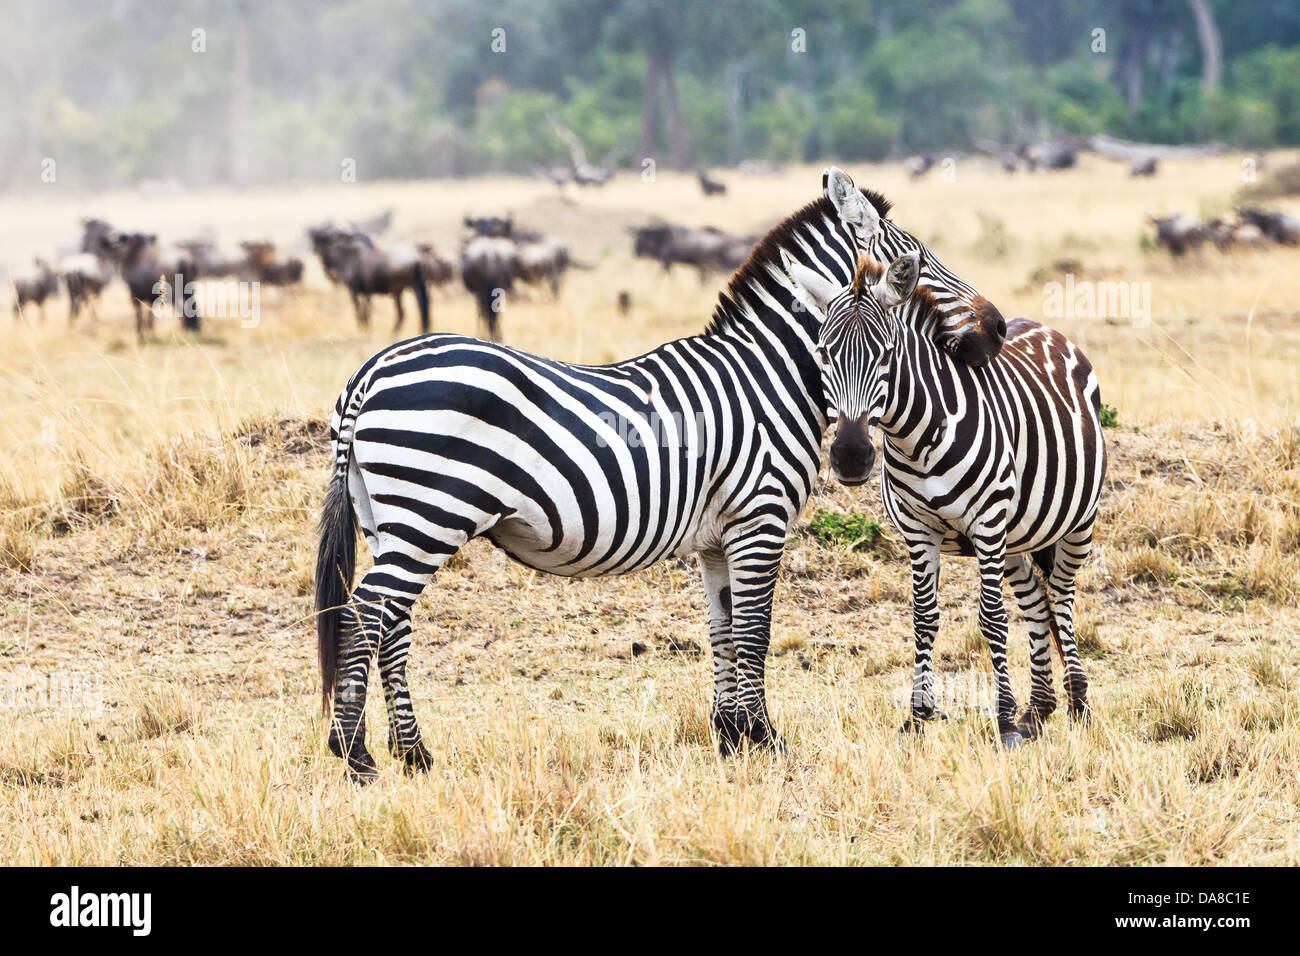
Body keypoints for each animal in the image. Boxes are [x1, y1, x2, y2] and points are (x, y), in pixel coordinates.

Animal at [313, 167, 1008, 780]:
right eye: (918, 260)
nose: (998, 328)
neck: (768, 376)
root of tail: (370, 370)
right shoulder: (761, 517)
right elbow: (755, 632)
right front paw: (768, 741)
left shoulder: (718, 537)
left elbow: (724, 632)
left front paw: (731, 738)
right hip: (429, 513)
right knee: (366, 612)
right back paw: (357, 755)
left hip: (388, 519)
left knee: (392, 624)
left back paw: (413, 755)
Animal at [782, 247, 1106, 749]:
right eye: (823, 355)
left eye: (887, 355)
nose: (851, 456)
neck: (915, 439)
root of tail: (1044, 327)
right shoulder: (920, 532)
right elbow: (924, 618)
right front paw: (917, 717)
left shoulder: (987, 523)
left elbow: (992, 618)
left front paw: (1004, 723)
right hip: (1016, 536)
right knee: (1036, 601)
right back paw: (1039, 710)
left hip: (1075, 523)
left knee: (1063, 598)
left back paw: (1078, 705)